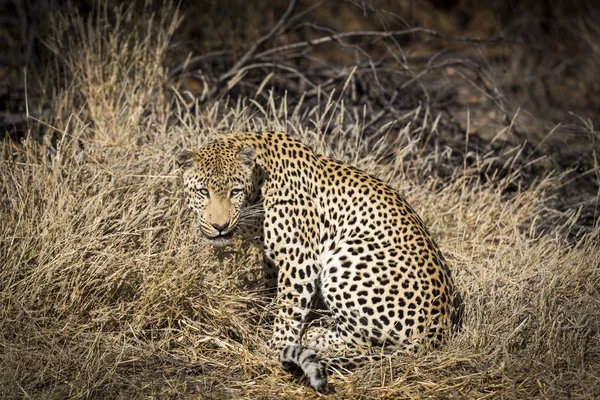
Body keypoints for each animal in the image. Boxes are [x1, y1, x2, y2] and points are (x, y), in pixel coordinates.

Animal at [176, 132, 462, 394]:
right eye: (203, 192)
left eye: (234, 191)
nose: (220, 226)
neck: (258, 188)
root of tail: (440, 327)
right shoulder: (272, 259)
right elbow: (273, 293)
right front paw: (265, 316)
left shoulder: (299, 259)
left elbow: (289, 309)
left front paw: (277, 348)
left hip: (347, 258)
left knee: (360, 340)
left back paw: (314, 334)